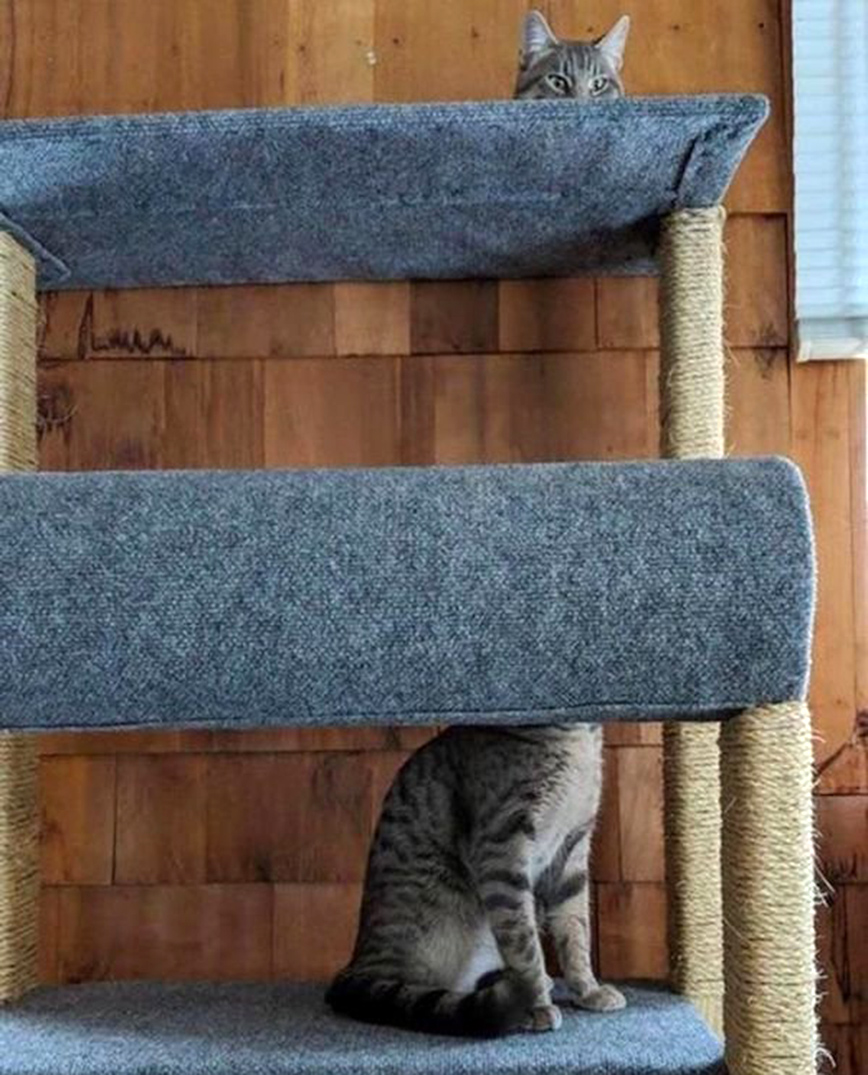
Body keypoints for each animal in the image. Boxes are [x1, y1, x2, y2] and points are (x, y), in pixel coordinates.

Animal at [326, 725, 626, 1037]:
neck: (573, 740)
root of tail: (354, 966)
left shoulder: (573, 850)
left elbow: (575, 933)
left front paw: (588, 990)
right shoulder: (502, 851)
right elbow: (524, 945)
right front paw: (535, 1005)